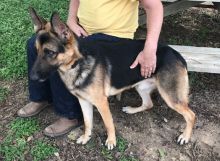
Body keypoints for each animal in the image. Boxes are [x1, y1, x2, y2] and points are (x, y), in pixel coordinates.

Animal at [28, 8, 195, 150]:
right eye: (37, 51)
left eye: (50, 52)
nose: (32, 77)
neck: (77, 63)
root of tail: (176, 54)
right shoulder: (84, 101)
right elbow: (88, 122)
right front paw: (86, 137)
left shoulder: (101, 102)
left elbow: (109, 123)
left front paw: (111, 141)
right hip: (141, 86)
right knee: (148, 104)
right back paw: (131, 109)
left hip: (171, 97)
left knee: (191, 115)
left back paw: (185, 137)